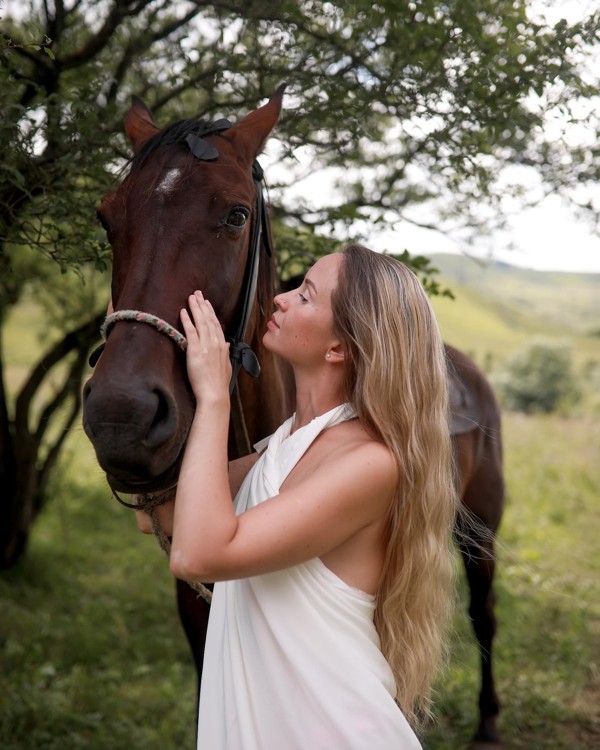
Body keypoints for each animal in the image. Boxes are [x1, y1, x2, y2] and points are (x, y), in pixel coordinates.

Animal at [83, 89, 506, 750]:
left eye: (236, 215)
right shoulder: (194, 607)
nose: (120, 415)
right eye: (107, 217)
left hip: (482, 529)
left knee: (483, 615)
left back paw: (487, 723)